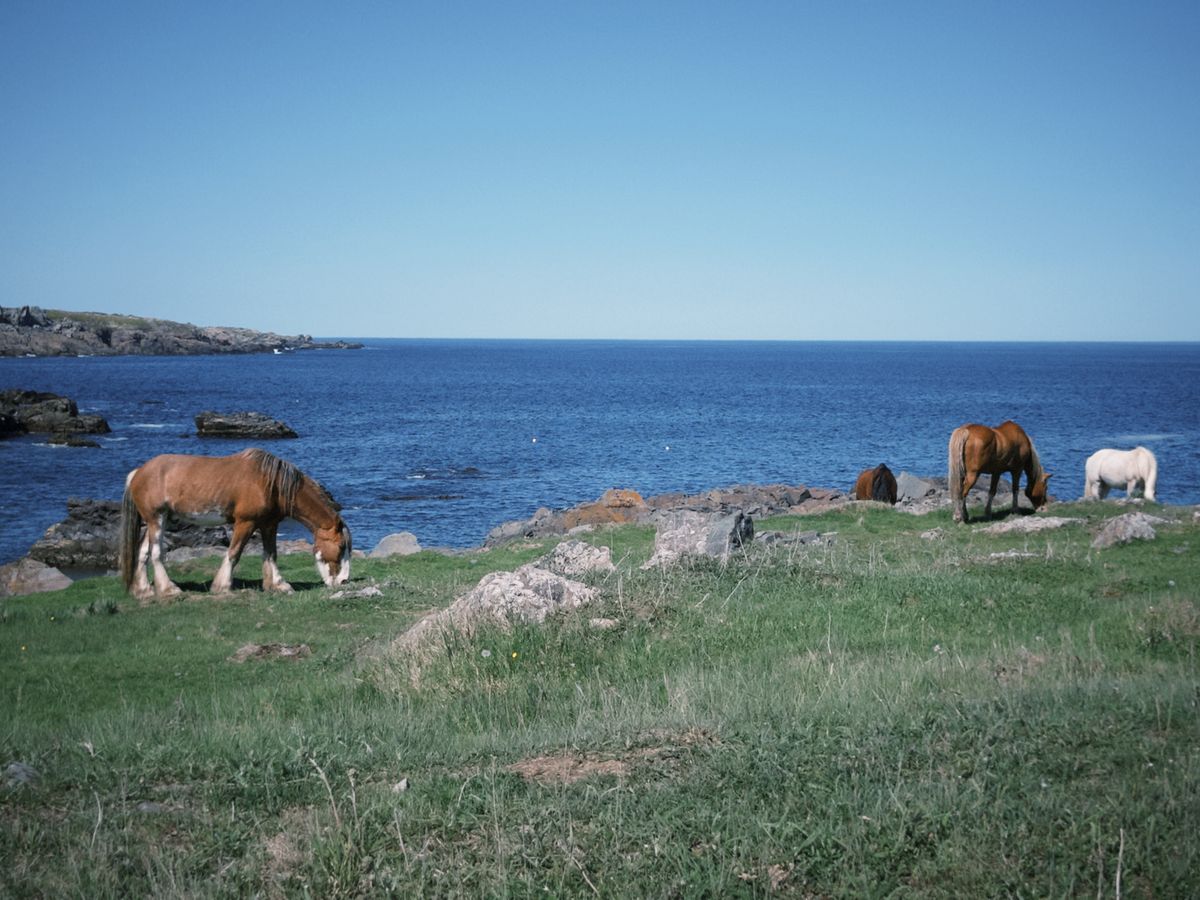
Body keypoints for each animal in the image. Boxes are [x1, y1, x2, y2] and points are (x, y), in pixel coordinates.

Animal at [119, 448, 351, 599]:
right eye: (341, 547)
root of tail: (138, 473)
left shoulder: (268, 524)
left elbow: (271, 554)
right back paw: (169, 589)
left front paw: (277, 584)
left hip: (159, 520)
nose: (343, 581)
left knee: (143, 552)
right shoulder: (245, 522)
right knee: (157, 553)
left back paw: (144, 590)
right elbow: (234, 553)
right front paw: (222, 586)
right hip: (156, 518)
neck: (271, 483)